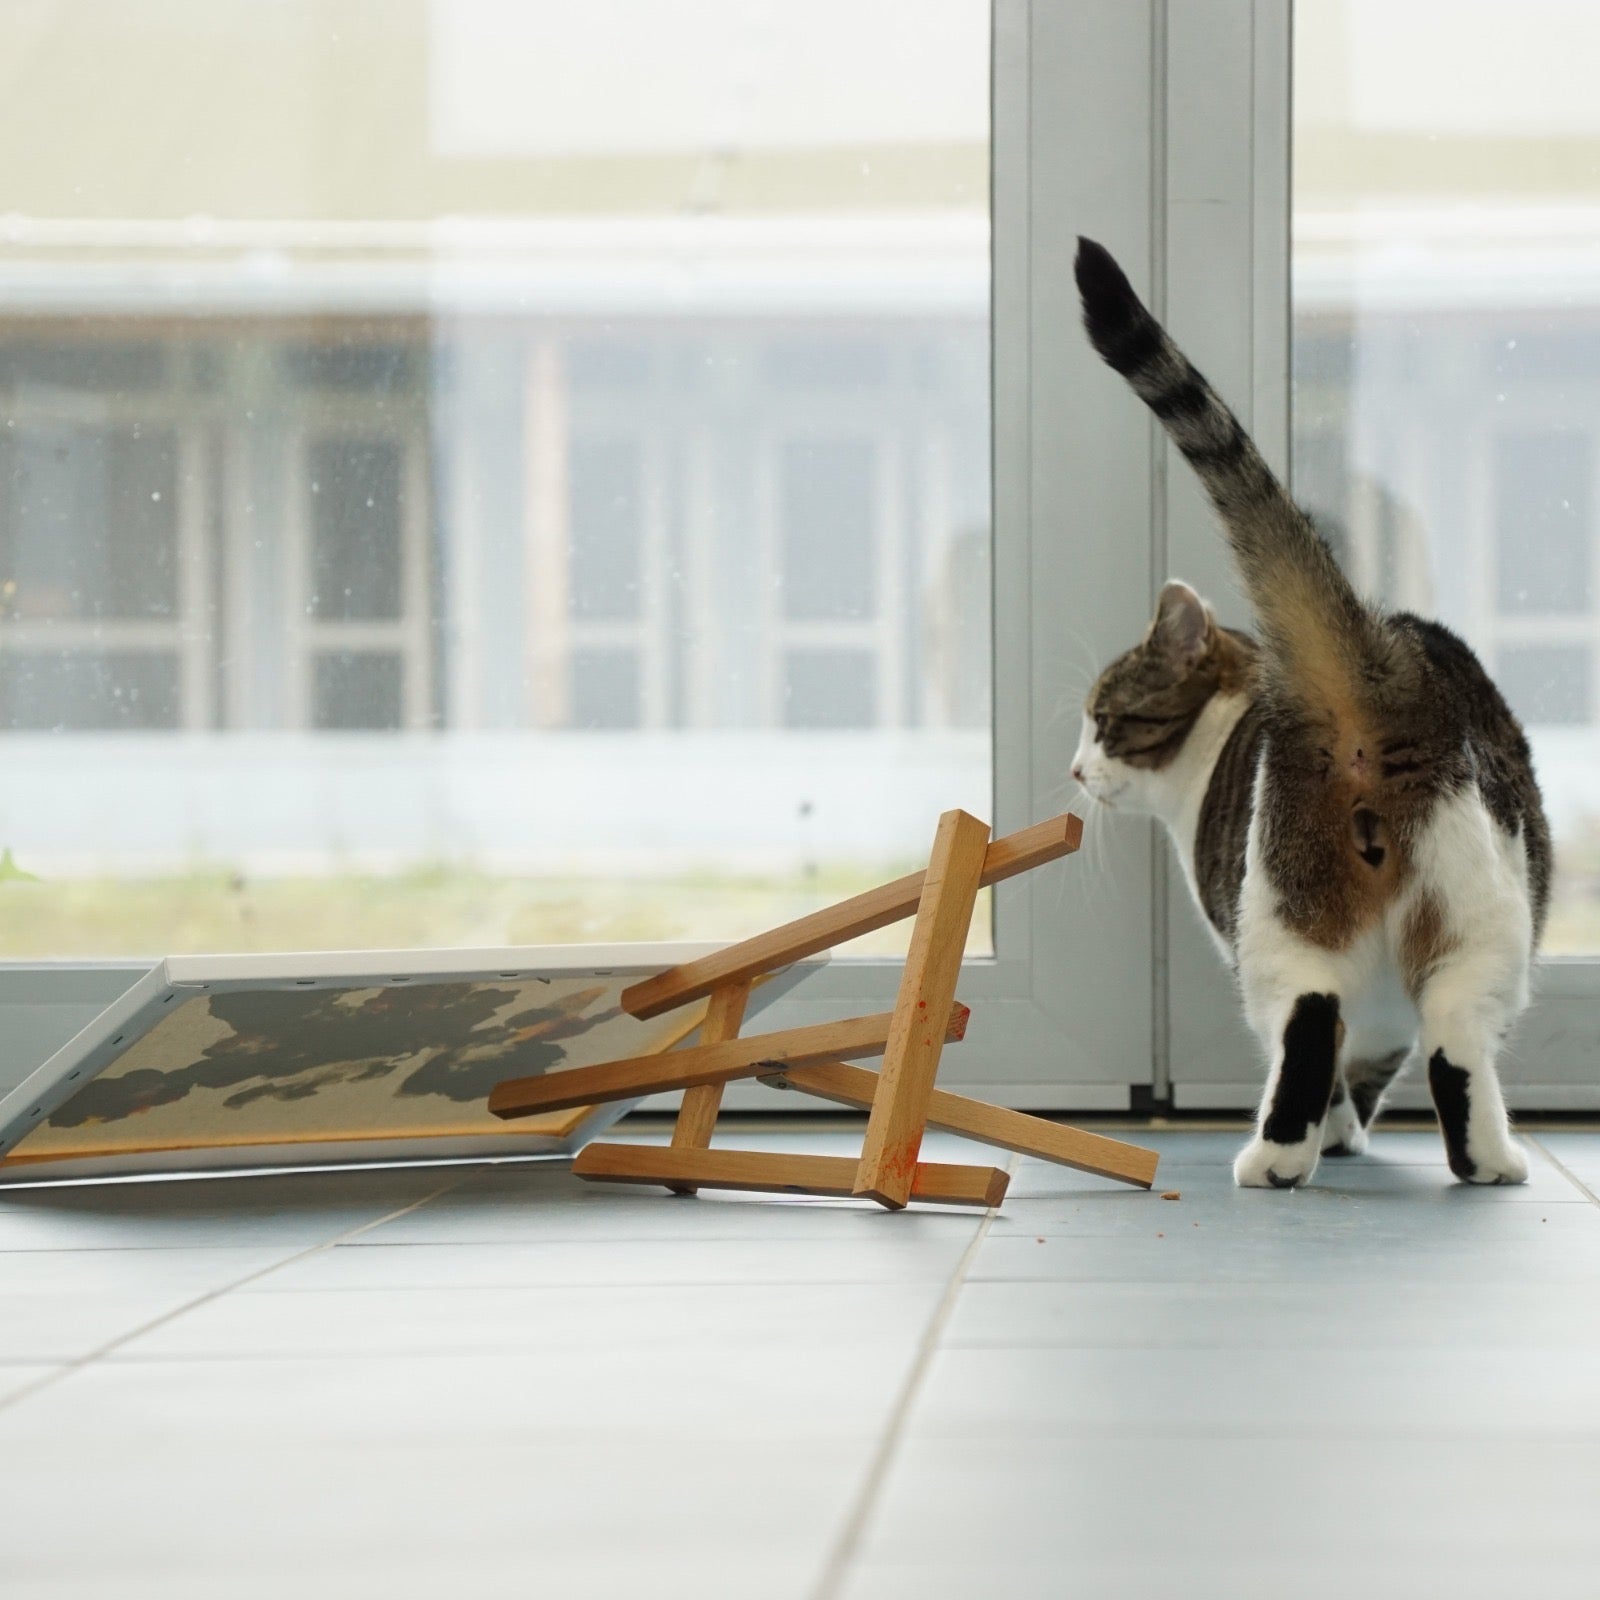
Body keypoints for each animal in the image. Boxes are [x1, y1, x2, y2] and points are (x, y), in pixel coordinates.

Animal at [1068, 236, 1542, 1190]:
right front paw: (1344, 1131)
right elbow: (1359, 1057)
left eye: (1103, 720)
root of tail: (1379, 675)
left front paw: (1341, 1131)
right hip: (1454, 920)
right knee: (1409, 1031)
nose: (1075, 769)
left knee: (1353, 1025)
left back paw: (1298, 1158)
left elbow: (1353, 1060)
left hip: (1305, 915)